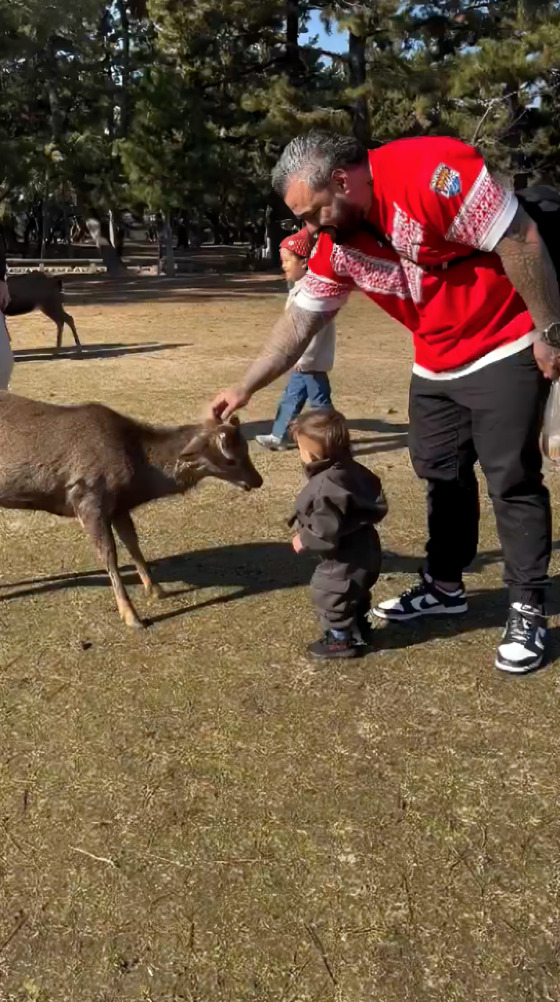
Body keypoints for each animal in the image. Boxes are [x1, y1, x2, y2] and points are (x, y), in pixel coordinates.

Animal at [0, 390, 264, 625]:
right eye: (230, 460)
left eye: (246, 449)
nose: (257, 480)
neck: (137, 476)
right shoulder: (88, 499)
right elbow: (109, 556)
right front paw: (131, 616)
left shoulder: (119, 506)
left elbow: (133, 544)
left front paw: (156, 589)